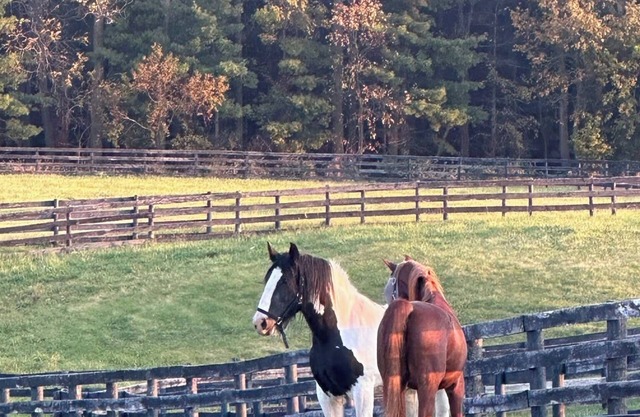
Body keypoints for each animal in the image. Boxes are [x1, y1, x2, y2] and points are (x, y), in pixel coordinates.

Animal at [252, 243, 450, 417]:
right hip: (408, 390)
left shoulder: (363, 390)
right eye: (267, 279)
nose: (260, 322)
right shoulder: (328, 396)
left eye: (285, 281)